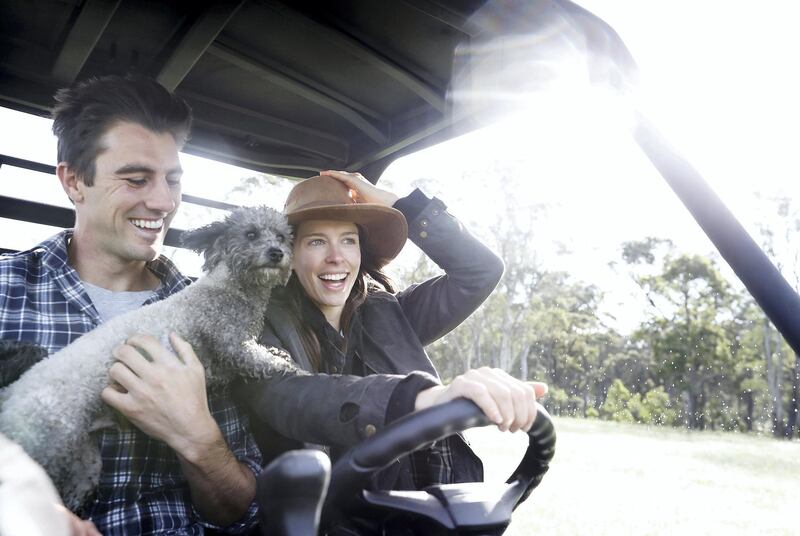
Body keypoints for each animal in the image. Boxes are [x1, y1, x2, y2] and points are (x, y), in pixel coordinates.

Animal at [0, 205, 298, 510]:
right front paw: (291, 366)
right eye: (250, 234)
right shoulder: (229, 340)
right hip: (48, 440)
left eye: (282, 237)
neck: (229, 289)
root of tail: (11, 393)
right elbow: (264, 362)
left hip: (83, 453)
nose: (277, 253)